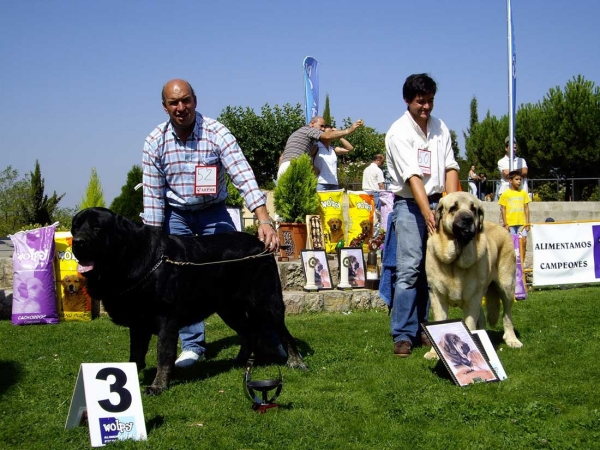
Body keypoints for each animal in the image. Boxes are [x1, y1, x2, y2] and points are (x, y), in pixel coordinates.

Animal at [70, 207, 304, 394]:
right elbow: (135, 353)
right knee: (249, 332)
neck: (131, 258)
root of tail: (261, 245)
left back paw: (296, 362)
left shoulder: (166, 319)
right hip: (229, 309)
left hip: (266, 301)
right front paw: (130, 378)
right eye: (75, 227)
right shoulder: (138, 323)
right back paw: (240, 361)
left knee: (283, 333)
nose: (77, 242)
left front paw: (158, 385)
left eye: (97, 228)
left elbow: (163, 354)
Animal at [424, 192, 524, 360]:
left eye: (474, 209)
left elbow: (469, 324)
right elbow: (439, 321)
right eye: (454, 208)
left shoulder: (472, 299)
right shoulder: (437, 296)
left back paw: (511, 339)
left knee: (507, 315)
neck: (455, 262)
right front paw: (434, 353)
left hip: (507, 287)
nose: (467, 219)